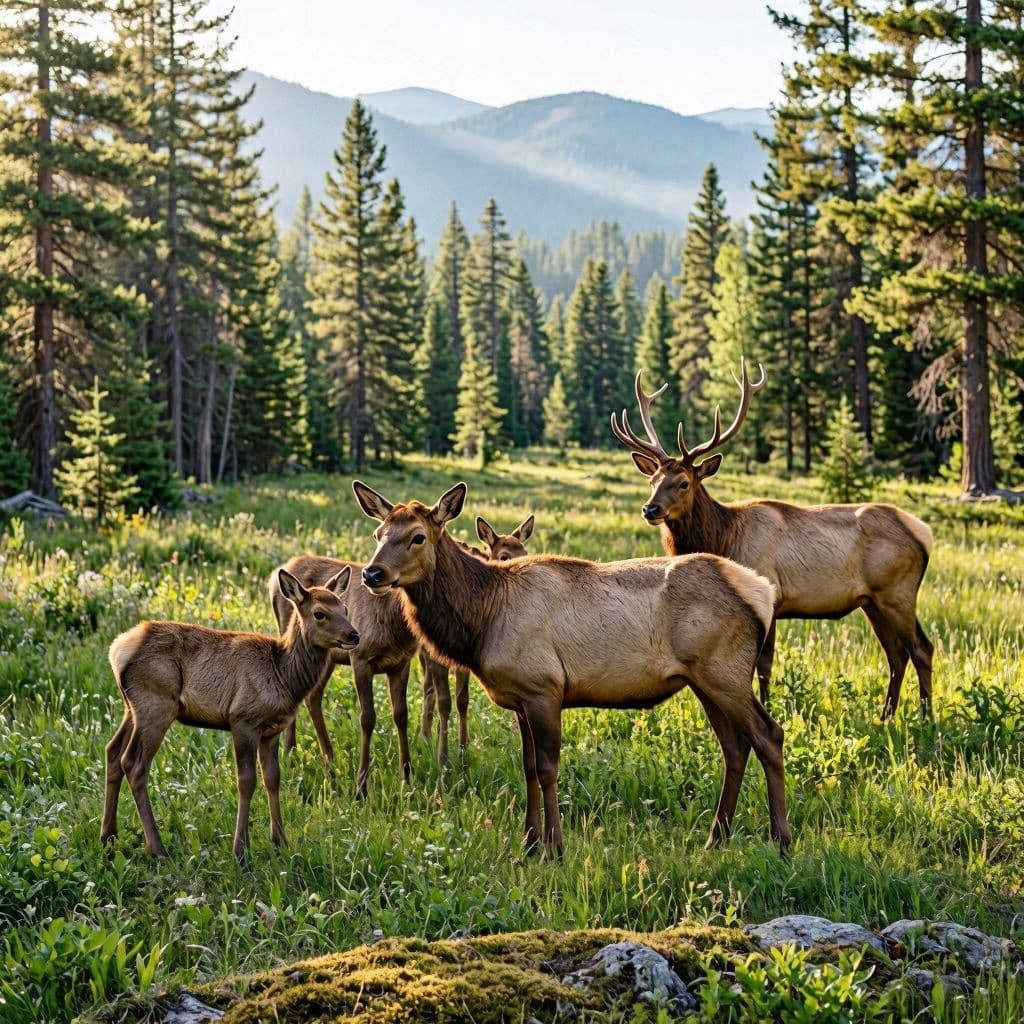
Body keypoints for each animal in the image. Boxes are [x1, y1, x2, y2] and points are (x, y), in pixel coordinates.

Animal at [101, 567, 358, 861]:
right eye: (319, 613)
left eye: (345, 608)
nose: (354, 635)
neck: (284, 676)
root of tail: (117, 651)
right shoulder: (243, 719)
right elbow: (246, 781)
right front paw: (241, 851)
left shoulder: (272, 730)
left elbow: (273, 778)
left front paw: (281, 841)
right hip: (156, 704)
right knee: (133, 763)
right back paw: (157, 849)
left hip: (132, 708)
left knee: (112, 751)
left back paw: (108, 838)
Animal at [354, 480, 792, 857]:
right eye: (378, 535)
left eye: (417, 536)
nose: (372, 573)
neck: (482, 619)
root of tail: (761, 592)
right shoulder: (520, 699)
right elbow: (528, 768)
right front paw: (529, 843)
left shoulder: (544, 687)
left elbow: (548, 768)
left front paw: (556, 846)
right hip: (705, 681)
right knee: (734, 747)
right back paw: (715, 839)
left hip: (725, 673)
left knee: (769, 735)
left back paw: (782, 842)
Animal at [610, 359, 934, 718]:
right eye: (653, 479)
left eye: (683, 483)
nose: (650, 508)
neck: (723, 536)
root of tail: (923, 532)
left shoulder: (773, 594)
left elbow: (763, 665)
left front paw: (771, 708)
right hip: (872, 600)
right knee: (897, 654)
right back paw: (887, 716)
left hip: (897, 592)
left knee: (921, 648)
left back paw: (926, 717)